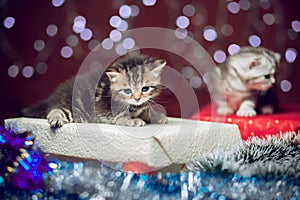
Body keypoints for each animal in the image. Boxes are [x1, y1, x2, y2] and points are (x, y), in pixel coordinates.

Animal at [19, 53, 168, 126]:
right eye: (127, 91)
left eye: (145, 88)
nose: (137, 98)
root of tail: (56, 94)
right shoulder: (105, 107)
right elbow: (119, 116)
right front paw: (133, 120)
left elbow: (145, 110)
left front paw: (156, 116)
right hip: (72, 105)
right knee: (56, 110)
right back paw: (56, 118)